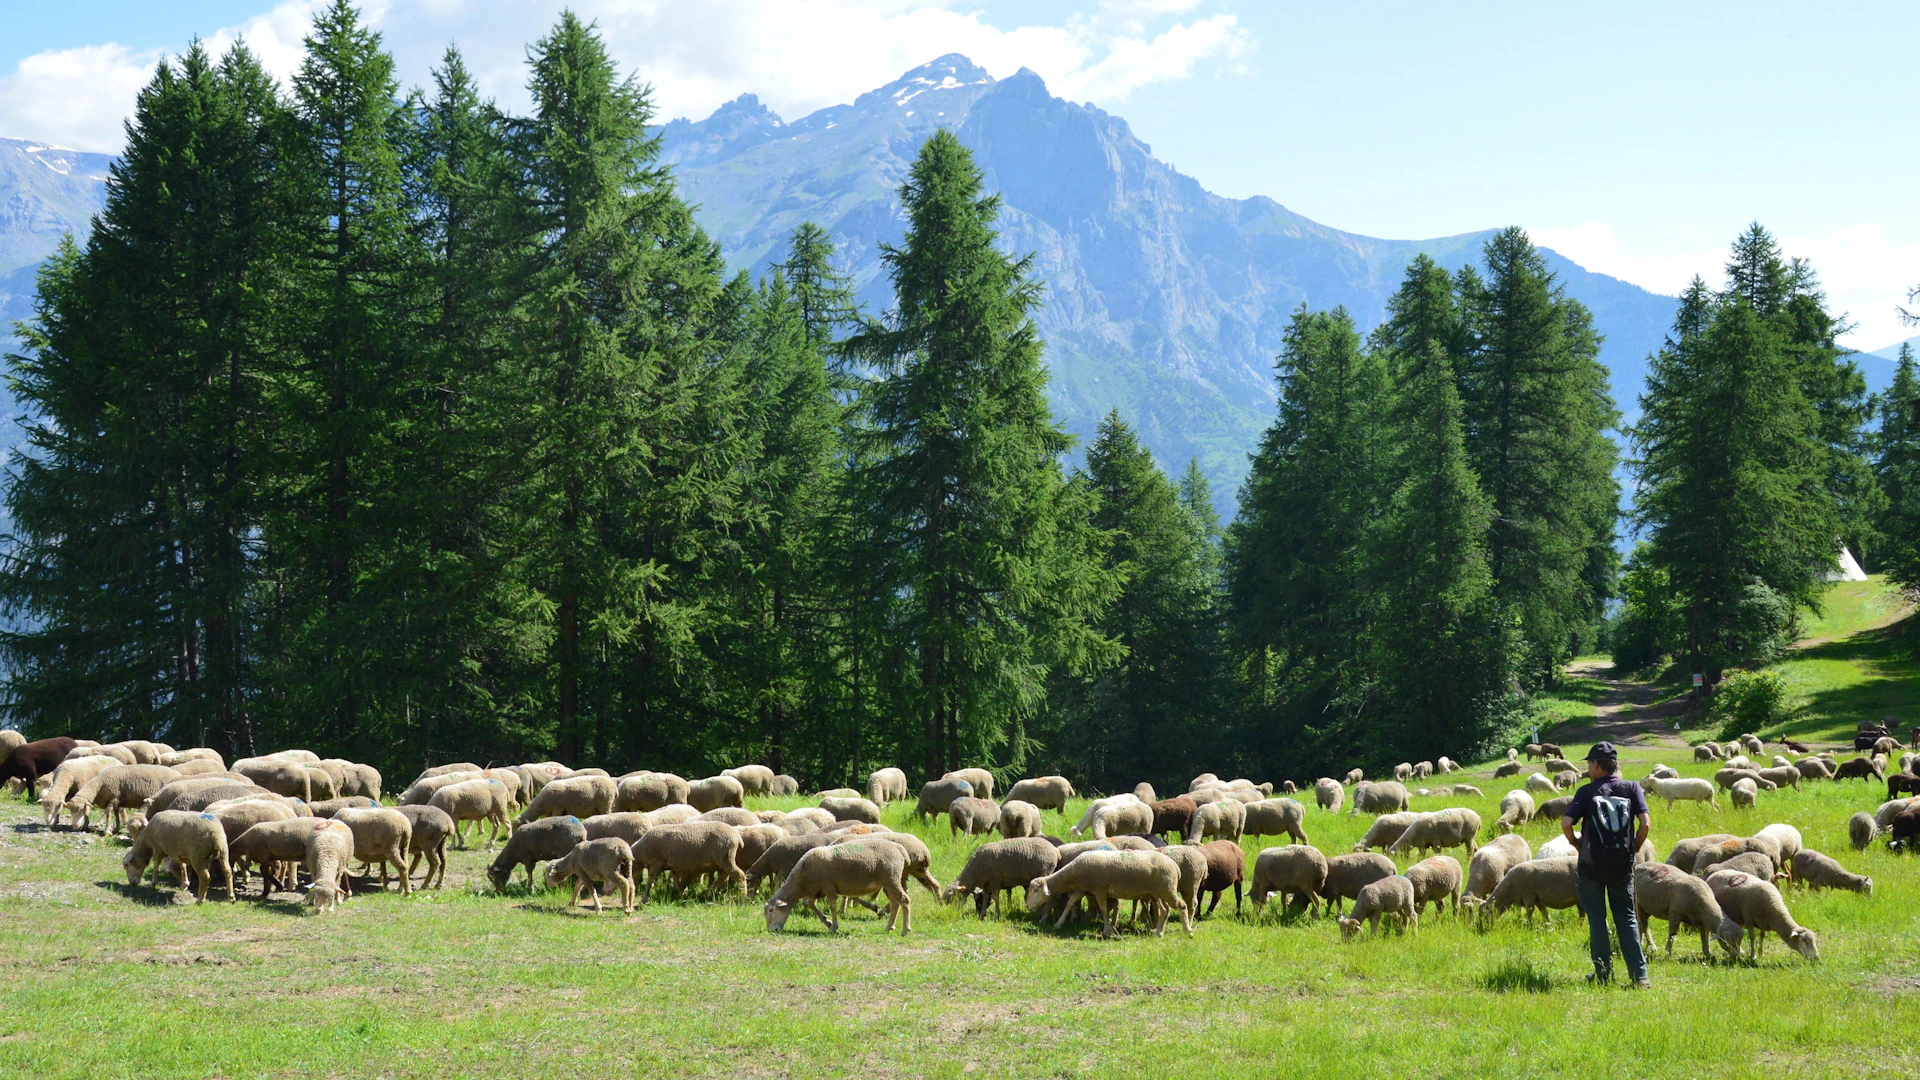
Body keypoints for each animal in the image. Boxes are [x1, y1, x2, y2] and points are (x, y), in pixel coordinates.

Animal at [765, 839, 912, 934]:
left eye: (771, 911)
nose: (771, 931)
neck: (802, 877)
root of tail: (899, 849)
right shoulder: (815, 890)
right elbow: (810, 904)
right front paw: (827, 921)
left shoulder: (828, 886)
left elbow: (832, 906)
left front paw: (833, 927)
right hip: (888, 882)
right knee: (895, 903)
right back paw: (889, 927)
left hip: (891, 878)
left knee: (904, 900)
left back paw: (905, 930)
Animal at [1023, 849, 1190, 938]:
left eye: (1035, 890)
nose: (1027, 906)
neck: (1075, 872)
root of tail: (1176, 867)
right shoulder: (1081, 888)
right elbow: (1070, 903)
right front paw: (1059, 924)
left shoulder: (1100, 889)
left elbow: (1103, 909)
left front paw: (1106, 930)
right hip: (1158, 893)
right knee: (1165, 910)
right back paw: (1159, 932)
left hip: (1167, 890)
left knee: (1182, 906)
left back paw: (1188, 931)